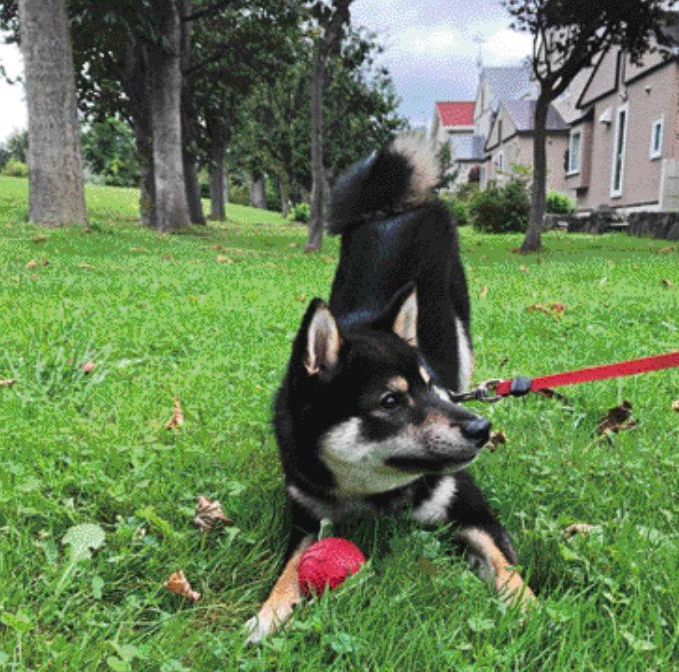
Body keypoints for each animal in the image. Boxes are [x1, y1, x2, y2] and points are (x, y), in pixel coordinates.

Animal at [247, 135, 532, 640]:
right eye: (391, 401)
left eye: (432, 388)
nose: (480, 428)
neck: (371, 496)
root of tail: (393, 206)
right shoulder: (305, 519)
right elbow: (290, 569)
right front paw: (269, 612)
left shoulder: (473, 511)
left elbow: (505, 567)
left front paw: (533, 609)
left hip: (461, 324)